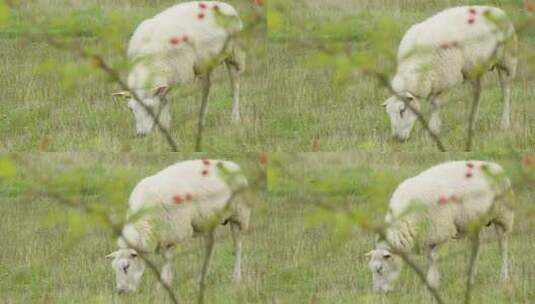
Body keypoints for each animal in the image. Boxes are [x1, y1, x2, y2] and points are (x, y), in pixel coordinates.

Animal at [108, 159, 252, 294]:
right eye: (114, 268)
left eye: (126, 267)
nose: (121, 292)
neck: (144, 224)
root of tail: (232, 165)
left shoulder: (173, 233)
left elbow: (167, 259)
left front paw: (163, 285)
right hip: (208, 221)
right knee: (210, 246)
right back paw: (201, 278)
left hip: (239, 214)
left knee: (237, 246)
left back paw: (236, 278)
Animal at [114, 0, 247, 137]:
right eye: (131, 109)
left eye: (149, 108)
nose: (141, 135)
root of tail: (225, 5)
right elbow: (163, 100)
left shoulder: (175, 72)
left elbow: (165, 100)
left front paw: (165, 124)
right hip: (204, 63)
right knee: (206, 88)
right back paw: (202, 119)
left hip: (234, 53)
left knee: (235, 84)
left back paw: (235, 118)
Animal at [368, 162, 516, 292]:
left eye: (380, 269)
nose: (378, 293)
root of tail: (495, 165)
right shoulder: (430, 233)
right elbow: (429, 258)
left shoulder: (441, 231)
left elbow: (433, 258)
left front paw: (431, 284)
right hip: (473, 221)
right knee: (476, 246)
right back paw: (471, 278)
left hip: (503, 215)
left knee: (503, 245)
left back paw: (503, 277)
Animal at [386, 5, 520, 141]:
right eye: (388, 113)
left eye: (402, 110)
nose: (396, 138)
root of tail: (496, 9)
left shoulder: (445, 79)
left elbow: (435, 105)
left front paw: (433, 130)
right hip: (474, 68)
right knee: (477, 92)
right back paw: (472, 124)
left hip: (507, 60)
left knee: (506, 91)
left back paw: (504, 123)